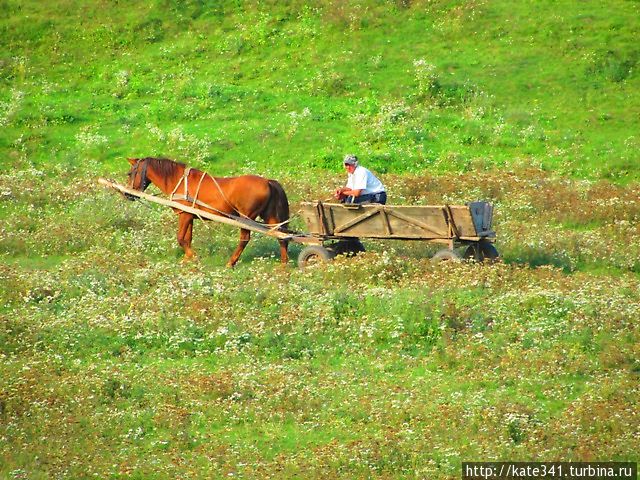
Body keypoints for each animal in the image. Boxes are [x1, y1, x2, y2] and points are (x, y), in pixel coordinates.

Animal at [125, 157, 290, 266]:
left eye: (130, 173)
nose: (127, 194)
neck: (179, 181)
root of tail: (268, 181)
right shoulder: (189, 216)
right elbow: (188, 238)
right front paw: (187, 259)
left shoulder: (184, 215)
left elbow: (180, 238)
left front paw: (193, 256)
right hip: (270, 216)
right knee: (281, 236)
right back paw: (284, 264)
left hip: (246, 218)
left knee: (245, 239)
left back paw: (231, 262)